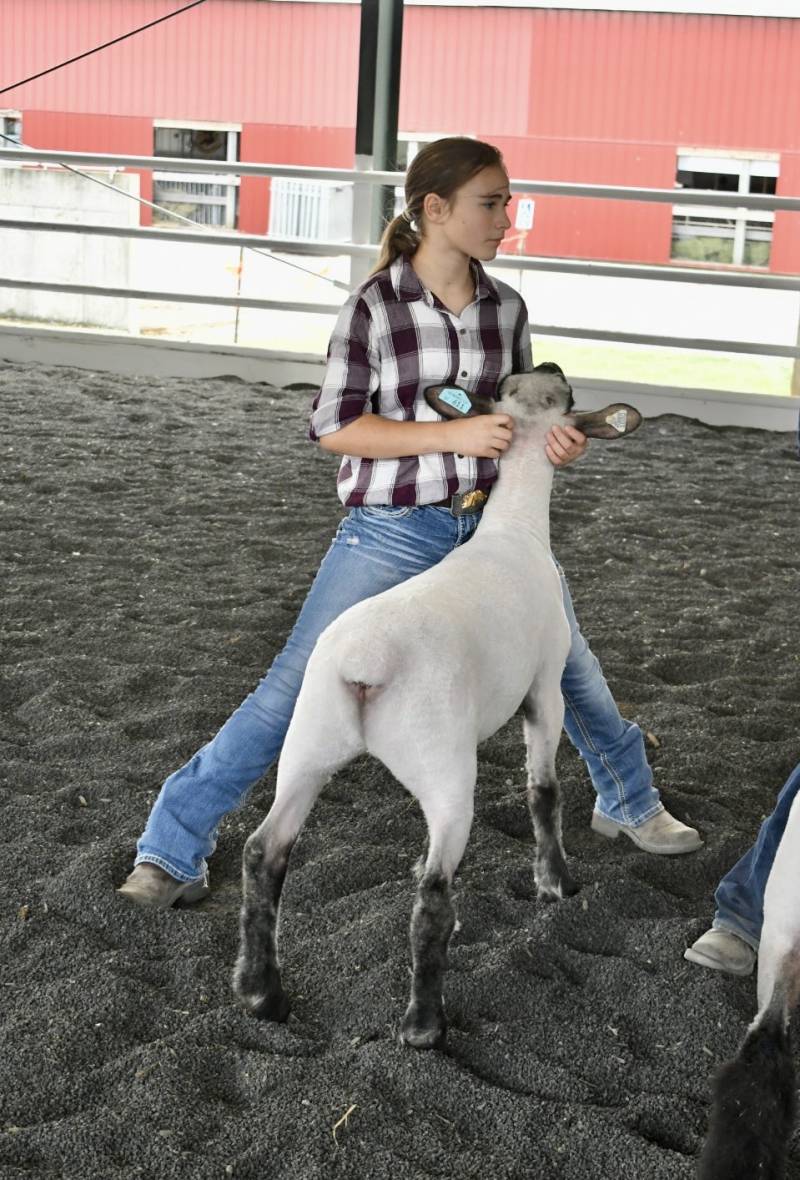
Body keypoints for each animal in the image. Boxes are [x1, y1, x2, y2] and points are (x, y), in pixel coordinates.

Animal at [234, 363, 641, 1047]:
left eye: (518, 384)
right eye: (565, 395)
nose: (553, 366)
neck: (514, 528)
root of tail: (366, 664)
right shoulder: (545, 689)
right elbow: (544, 792)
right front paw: (555, 882)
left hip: (307, 747)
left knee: (265, 853)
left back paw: (264, 994)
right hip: (446, 771)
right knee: (432, 894)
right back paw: (423, 1025)